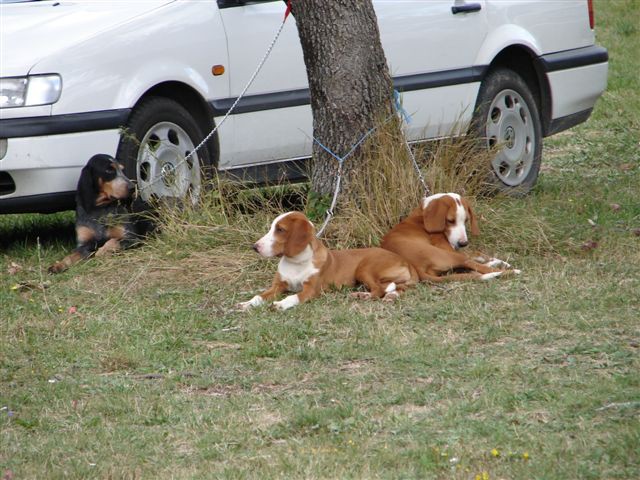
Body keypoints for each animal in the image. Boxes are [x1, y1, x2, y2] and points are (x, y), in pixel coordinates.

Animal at [238, 211, 418, 310]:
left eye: (280, 229)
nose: (255, 247)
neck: (296, 262)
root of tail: (405, 260)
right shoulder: (278, 286)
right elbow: (259, 296)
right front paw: (247, 303)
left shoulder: (311, 290)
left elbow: (292, 297)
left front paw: (280, 304)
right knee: (398, 288)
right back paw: (384, 296)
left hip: (364, 268)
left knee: (379, 289)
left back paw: (364, 296)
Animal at [380, 191, 520, 282]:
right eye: (450, 221)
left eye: (466, 220)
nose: (463, 243)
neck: (423, 213)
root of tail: (416, 268)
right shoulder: (448, 247)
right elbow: (474, 257)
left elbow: (477, 253)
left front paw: (498, 260)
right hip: (450, 255)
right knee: (477, 267)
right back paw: (510, 271)